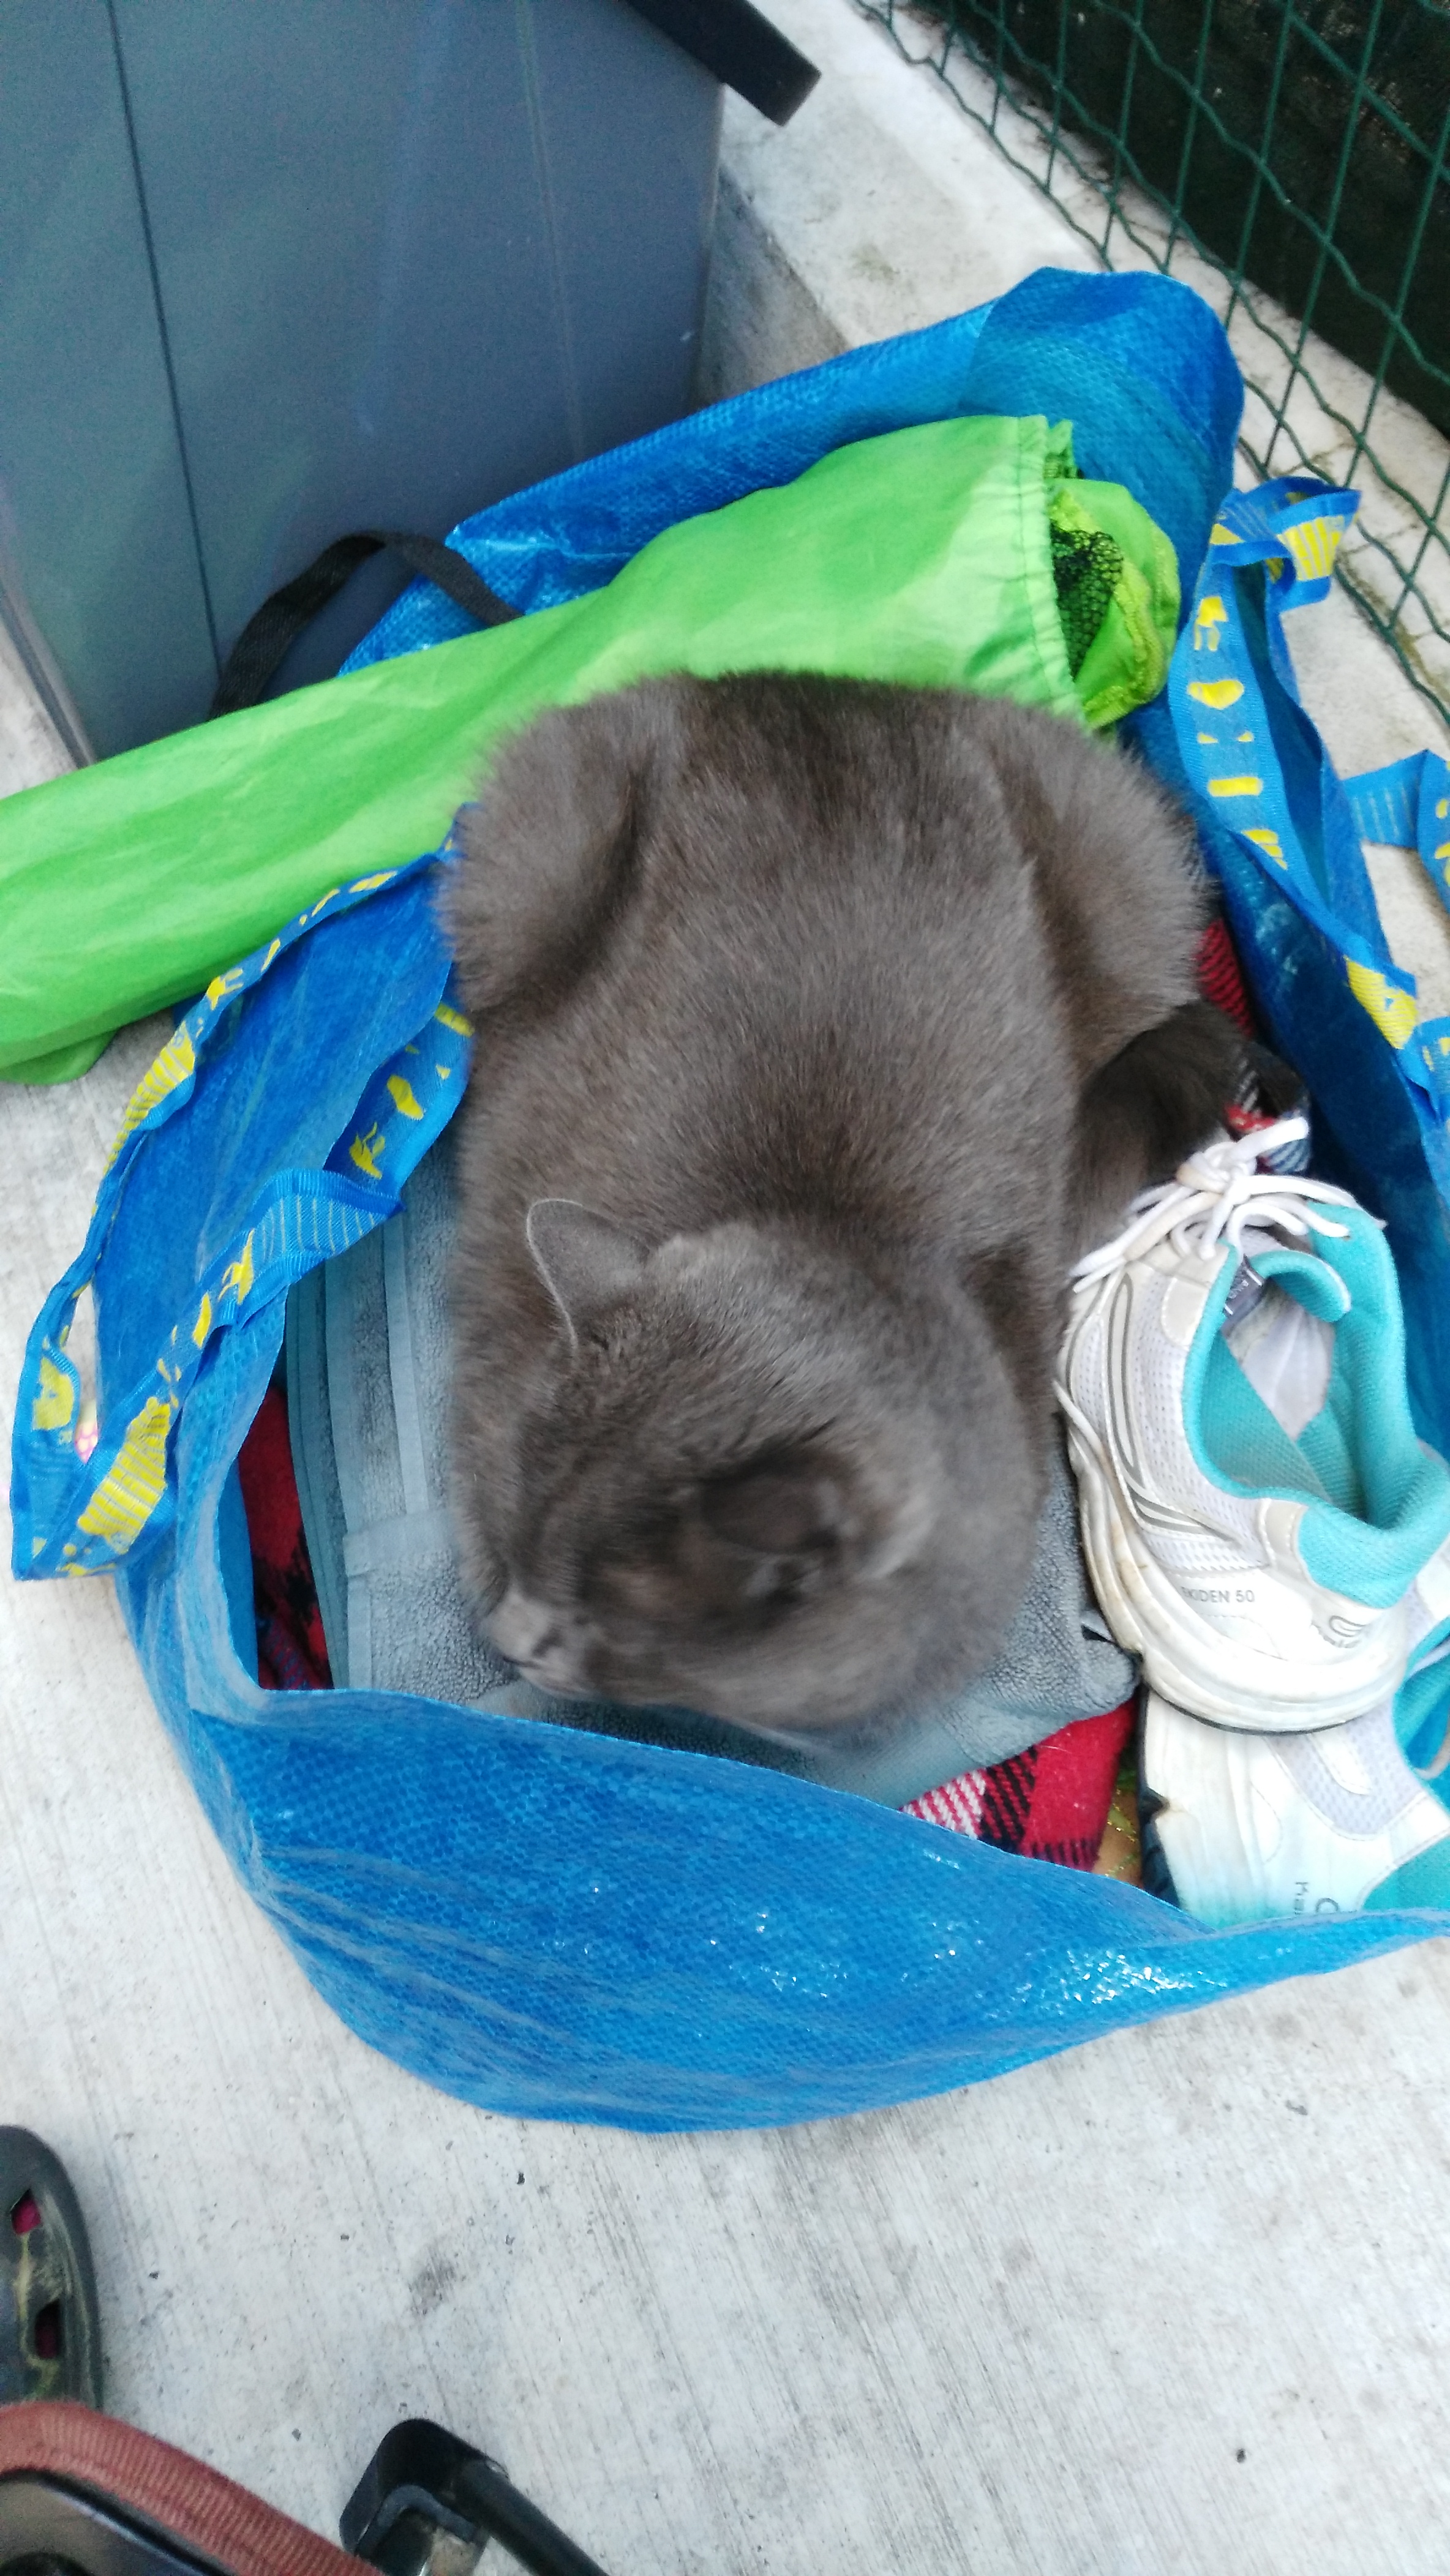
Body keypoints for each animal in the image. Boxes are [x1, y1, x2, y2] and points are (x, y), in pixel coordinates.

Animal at [442, 672, 1240, 1736]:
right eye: (526, 1534)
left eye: (596, 1621)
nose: (511, 1633)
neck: (840, 1227)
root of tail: (827, 688)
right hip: (537, 842)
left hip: (1125, 873)